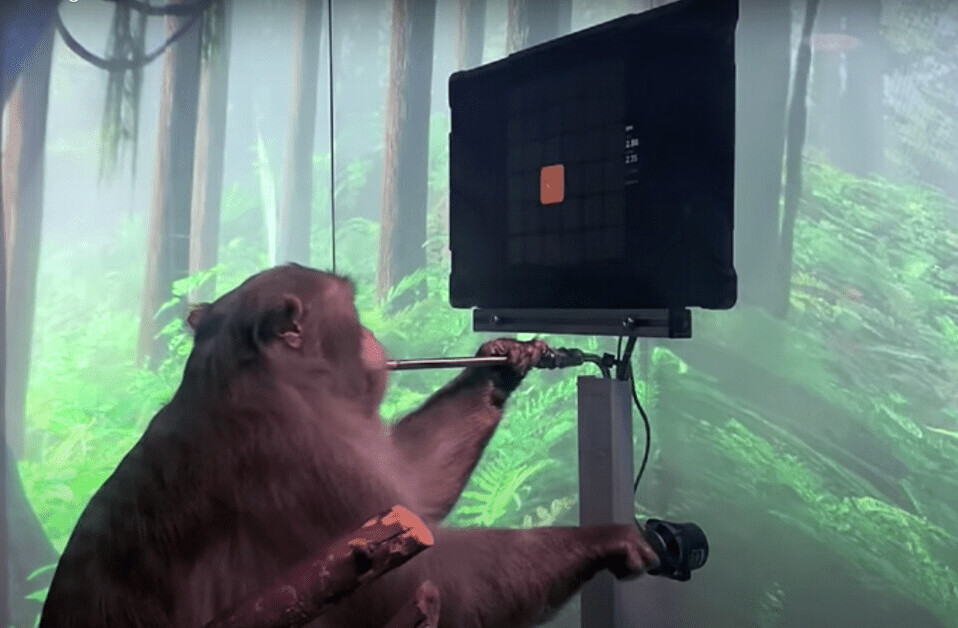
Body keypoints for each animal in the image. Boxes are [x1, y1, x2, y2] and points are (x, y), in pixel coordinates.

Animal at [39, 263, 658, 627]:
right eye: (354, 315)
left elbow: (413, 490)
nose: (372, 336)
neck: (267, 380)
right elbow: (432, 577)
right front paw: (604, 538)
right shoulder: (298, 454)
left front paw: (505, 360)